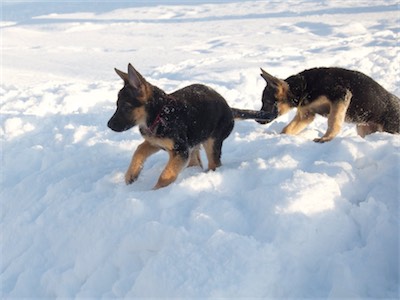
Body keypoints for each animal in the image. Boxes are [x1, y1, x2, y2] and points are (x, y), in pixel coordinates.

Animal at [107, 64, 272, 189]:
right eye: (117, 105)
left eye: (125, 107)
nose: (109, 125)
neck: (160, 114)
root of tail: (229, 109)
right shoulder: (155, 143)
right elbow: (139, 150)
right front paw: (131, 175)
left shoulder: (180, 151)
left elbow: (166, 174)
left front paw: (155, 193)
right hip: (195, 140)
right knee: (196, 161)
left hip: (212, 141)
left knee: (214, 163)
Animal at [260, 67, 400, 142]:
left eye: (267, 102)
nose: (258, 120)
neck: (303, 86)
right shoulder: (306, 114)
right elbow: (288, 128)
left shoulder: (340, 95)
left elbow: (333, 121)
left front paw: (326, 138)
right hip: (363, 128)